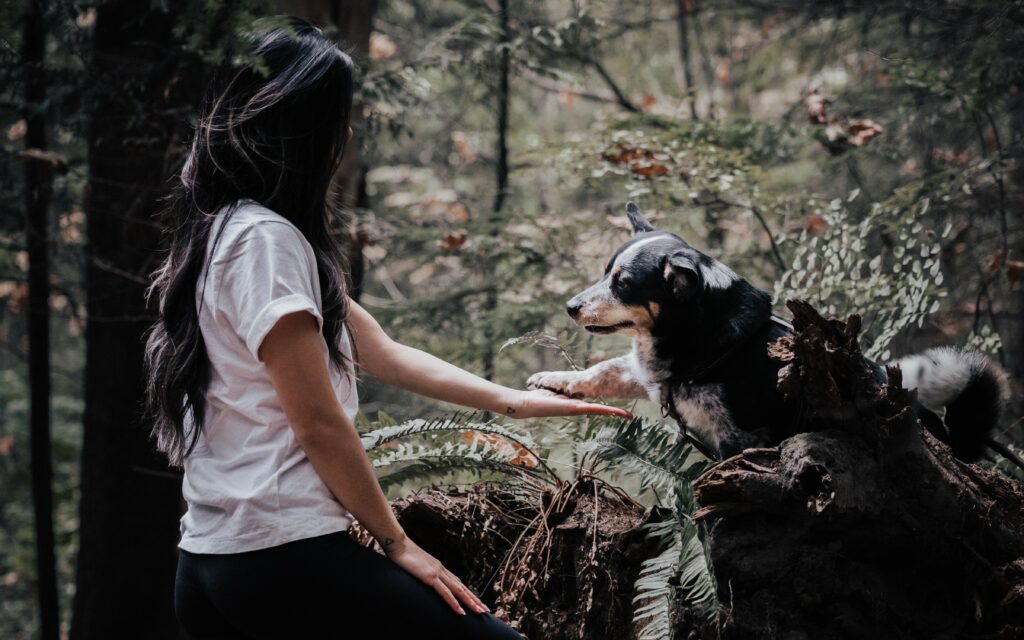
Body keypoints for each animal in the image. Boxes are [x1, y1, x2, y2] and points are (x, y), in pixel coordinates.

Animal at [528, 201, 1007, 460]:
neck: (706, 341)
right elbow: (599, 373)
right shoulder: (647, 376)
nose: (570, 307)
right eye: (605, 272)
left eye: (623, 283)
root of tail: (954, 443)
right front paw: (555, 380)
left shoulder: (739, 438)